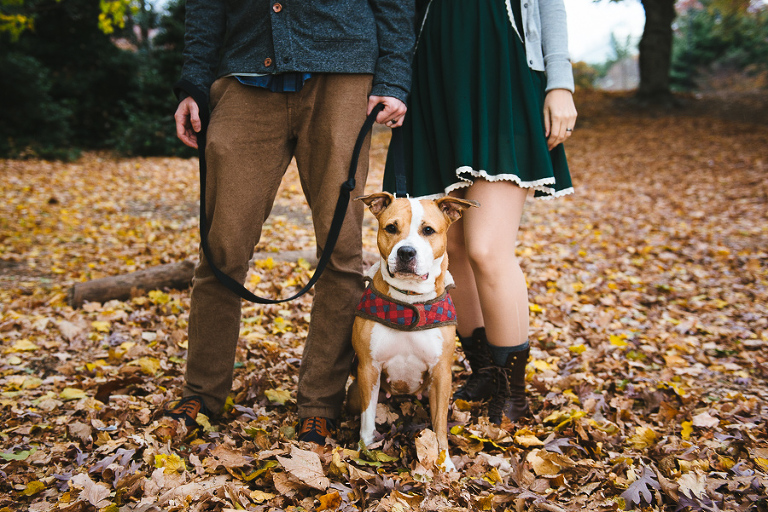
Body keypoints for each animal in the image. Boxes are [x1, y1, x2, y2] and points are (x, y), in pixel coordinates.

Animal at [352, 191, 476, 472]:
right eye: (391, 228)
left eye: (428, 230)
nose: (406, 252)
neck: (409, 299)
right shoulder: (368, 367)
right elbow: (367, 416)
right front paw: (366, 449)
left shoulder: (441, 373)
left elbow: (439, 425)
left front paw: (444, 463)